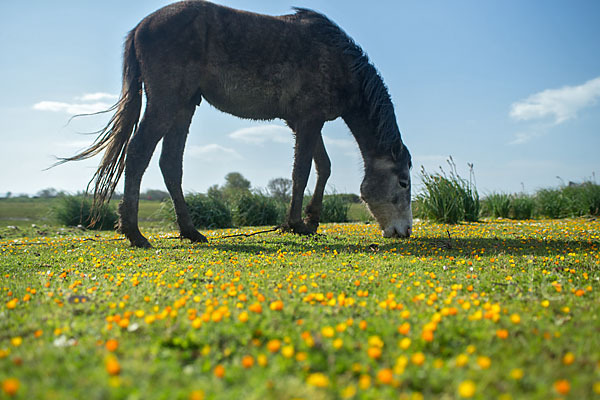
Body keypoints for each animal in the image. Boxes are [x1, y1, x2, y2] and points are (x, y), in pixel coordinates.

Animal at [64, 0, 412, 247]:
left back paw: (190, 232)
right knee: (138, 154)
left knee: (170, 164)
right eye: (403, 182)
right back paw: (134, 233)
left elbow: (323, 167)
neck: (339, 61)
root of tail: (141, 27)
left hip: (184, 106)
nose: (405, 231)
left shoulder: (304, 122)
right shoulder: (309, 121)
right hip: (166, 104)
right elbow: (301, 172)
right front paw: (296, 224)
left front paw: (311, 221)